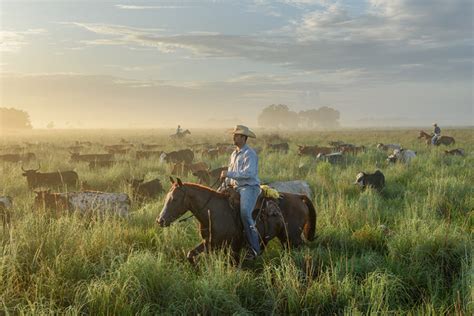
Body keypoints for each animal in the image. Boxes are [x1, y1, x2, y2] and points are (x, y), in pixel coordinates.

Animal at [157, 178, 316, 264]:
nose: (160, 220)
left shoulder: (232, 248)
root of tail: (299, 196)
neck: (212, 212)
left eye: (175, 199)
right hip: (285, 238)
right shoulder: (209, 243)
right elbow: (190, 254)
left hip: (293, 237)